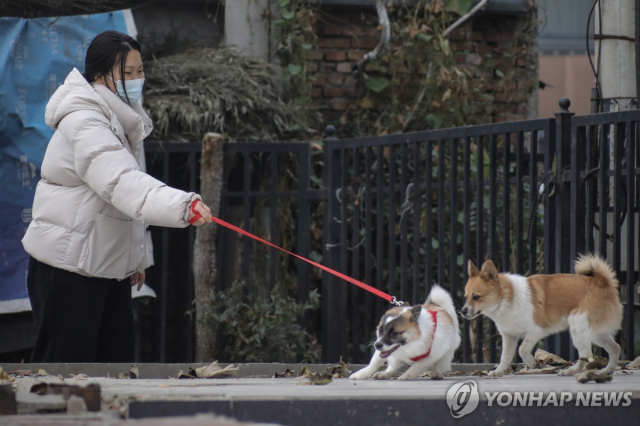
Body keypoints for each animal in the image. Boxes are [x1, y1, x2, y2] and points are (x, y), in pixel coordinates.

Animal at [462, 253, 624, 376]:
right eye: (465, 297)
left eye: (476, 297)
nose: (463, 311)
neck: (507, 298)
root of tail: (603, 282)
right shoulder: (509, 336)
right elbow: (505, 356)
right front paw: (499, 371)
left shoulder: (536, 330)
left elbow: (522, 349)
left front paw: (531, 362)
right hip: (596, 333)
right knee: (615, 348)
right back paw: (607, 370)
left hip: (578, 327)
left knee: (586, 355)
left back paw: (570, 371)